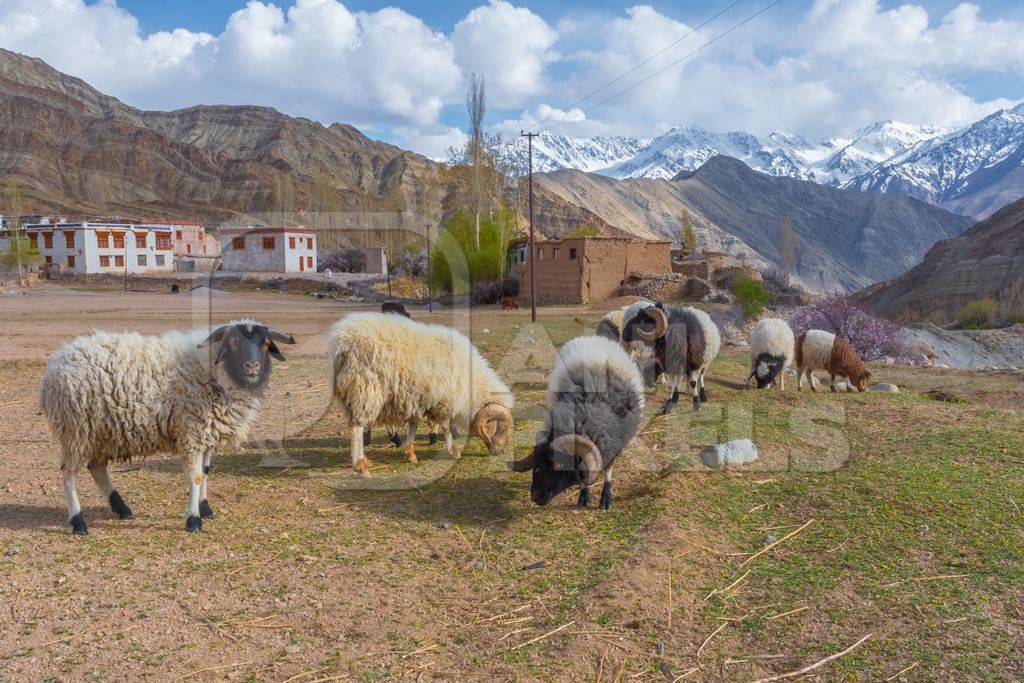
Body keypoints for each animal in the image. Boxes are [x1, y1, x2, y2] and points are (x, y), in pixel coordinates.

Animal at [39, 319, 294, 532]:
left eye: (266, 344)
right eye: (233, 342)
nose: (252, 367)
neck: (211, 371)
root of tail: (55, 366)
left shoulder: (207, 434)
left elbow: (206, 470)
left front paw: (205, 507)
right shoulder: (191, 433)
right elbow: (196, 476)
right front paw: (193, 520)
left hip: (102, 431)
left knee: (97, 468)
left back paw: (122, 509)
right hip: (77, 429)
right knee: (69, 473)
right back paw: (78, 522)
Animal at [327, 313, 516, 475]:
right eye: (501, 428)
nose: (502, 451)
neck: (471, 384)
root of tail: (342, 343)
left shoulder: (418, 399)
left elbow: (414, 425)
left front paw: (410, 453)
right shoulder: (445, 402)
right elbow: (446, 428)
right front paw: (453, 451)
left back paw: (365, 460)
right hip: (366, 390)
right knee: (356, 427)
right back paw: (360, 465)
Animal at [507, 333, 643, 509]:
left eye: (558, 465)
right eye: (536, 462)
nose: (535, 497)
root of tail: (592, 337)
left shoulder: (617, 441)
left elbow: (608, 469)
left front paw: (606, 497)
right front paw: (584, 496)